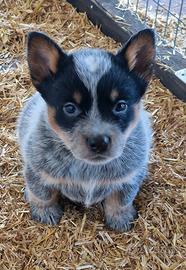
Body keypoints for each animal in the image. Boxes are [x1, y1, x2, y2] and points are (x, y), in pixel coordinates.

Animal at [17, 29, 155, 232]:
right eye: (70, 108)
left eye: (120, 106)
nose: (99, 142)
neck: (89, 169)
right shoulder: (37, 170)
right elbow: (42, 193)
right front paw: (45, 211)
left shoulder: (131, 176)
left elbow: (121, 199)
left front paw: (120, 217)